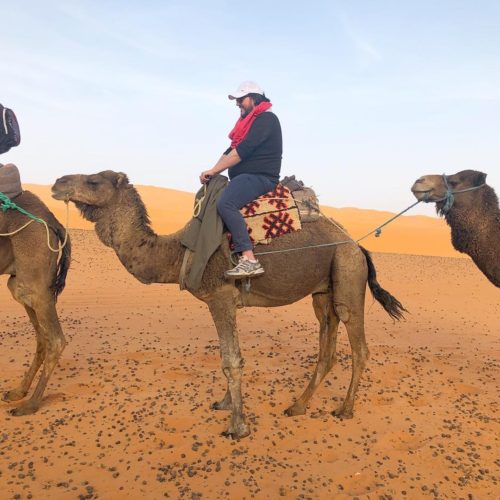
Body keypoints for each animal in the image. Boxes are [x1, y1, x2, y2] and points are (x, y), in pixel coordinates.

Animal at [0, 179, 71, 414]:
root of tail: (53, 222)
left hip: (35, 282)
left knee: (55, 340)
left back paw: (29, 405)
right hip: (21, 285)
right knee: (43, 338)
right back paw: (18, 392)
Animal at [52, 171, 404, 438]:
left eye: (94, 181)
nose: (57, 182)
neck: (178, 251)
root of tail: (357, 246)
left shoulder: (219, 297)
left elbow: (231, 361)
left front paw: (238, 426)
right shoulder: (226, 302)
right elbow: (233, 356)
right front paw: (225, 404)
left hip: (347, 275)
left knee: (358, 346)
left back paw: (345, 409)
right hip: (322, 291)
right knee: (327, 348)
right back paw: (297, 405)